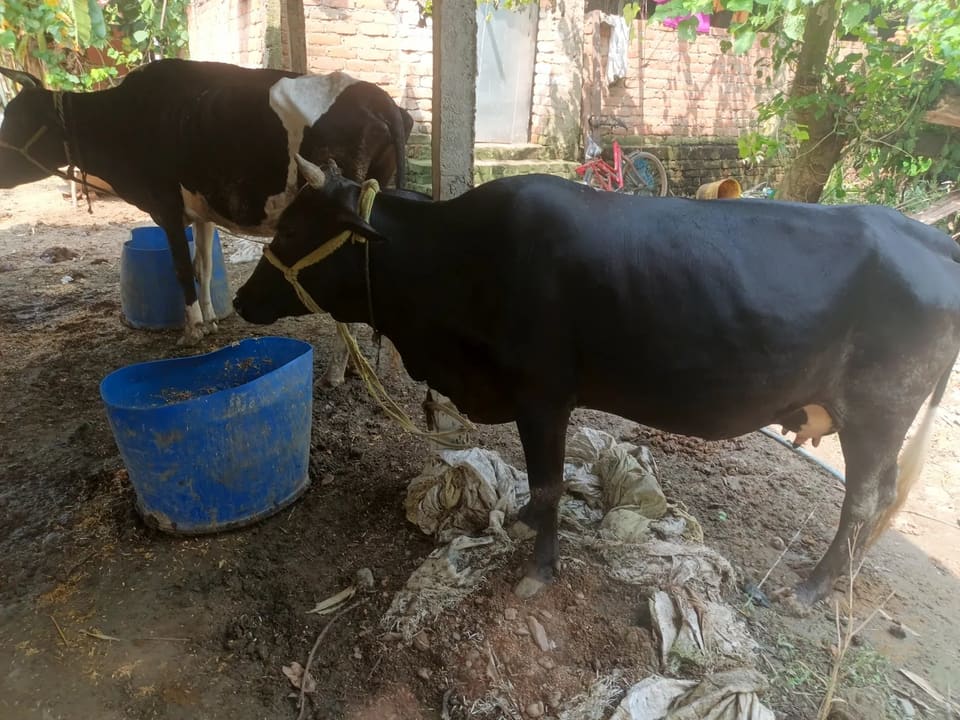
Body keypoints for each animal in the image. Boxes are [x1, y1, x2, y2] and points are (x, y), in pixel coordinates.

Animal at [0, 59, 412, 384]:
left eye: (18, 120)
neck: (122, 120)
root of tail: (380, 100)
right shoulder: (202, 212)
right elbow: (203, 265)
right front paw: (212, 319)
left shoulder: (165, 205)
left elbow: (182, 268)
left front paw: (193, 330)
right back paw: (355, 367)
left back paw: (336, 372)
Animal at [232, 157, 960, 606]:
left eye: (293, 229)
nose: (241, 299)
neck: (459, 259)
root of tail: (929, 237)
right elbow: (539, 489)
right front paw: (524, 524)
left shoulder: (543, 395)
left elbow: (550, 483)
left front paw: (539, 570)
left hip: (876, 414)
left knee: (864, 500)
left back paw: (812, 587)